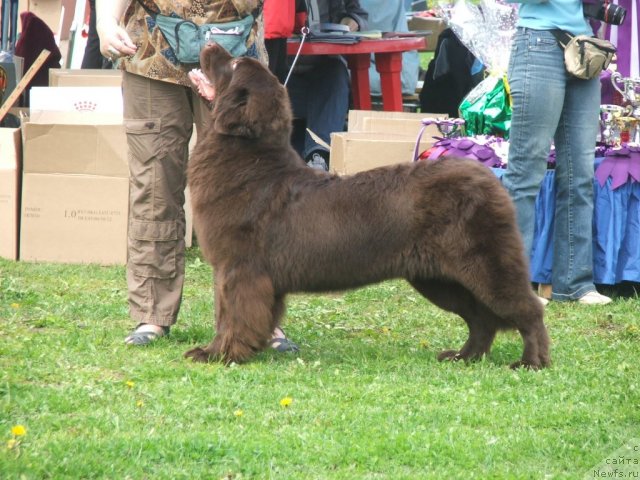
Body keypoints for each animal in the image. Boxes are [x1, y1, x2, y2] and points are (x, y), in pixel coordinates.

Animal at [186, 44, 552, 368]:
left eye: (233, 65)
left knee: (528, 309)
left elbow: (231, 314)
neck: (249, 159)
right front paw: (227, 351)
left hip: (486, 266)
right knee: (481, 318)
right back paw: (463, 357)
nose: (212, 41)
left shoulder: (239, 269)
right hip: (440, 279)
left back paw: (531, 362)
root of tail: (487, 178)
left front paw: (219, 354)